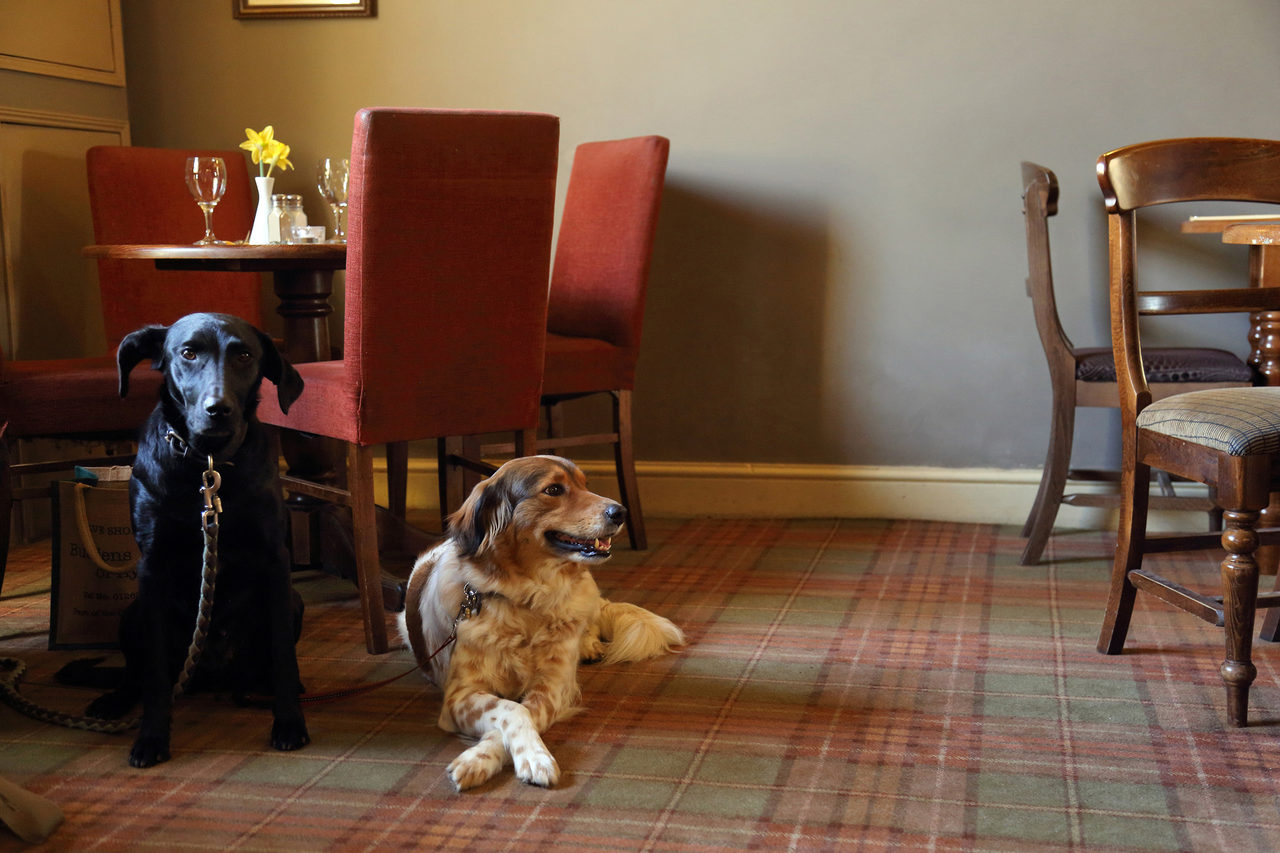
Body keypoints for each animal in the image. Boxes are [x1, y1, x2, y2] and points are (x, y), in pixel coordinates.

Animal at [82, 311, 309, 763]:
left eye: (244, 355)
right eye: (187, 353)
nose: (217, 409)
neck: (207, 464)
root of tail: (212, 675)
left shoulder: (275, 561)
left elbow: (283, 656)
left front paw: (290, 722)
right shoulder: (151, 567)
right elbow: (154, 674)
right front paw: (152, 737)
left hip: (293, 603)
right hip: (130, 613)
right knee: (135, 674)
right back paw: (114, 701)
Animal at [396, 455, 686, 788]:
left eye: (585, 484)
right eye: (554, 489)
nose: (620, 511)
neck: (527, 600)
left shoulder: (553, 687)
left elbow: (524, 711)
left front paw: (510, 758)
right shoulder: (459, 696)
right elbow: (511, 709)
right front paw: (497, 759)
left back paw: (588, 645)